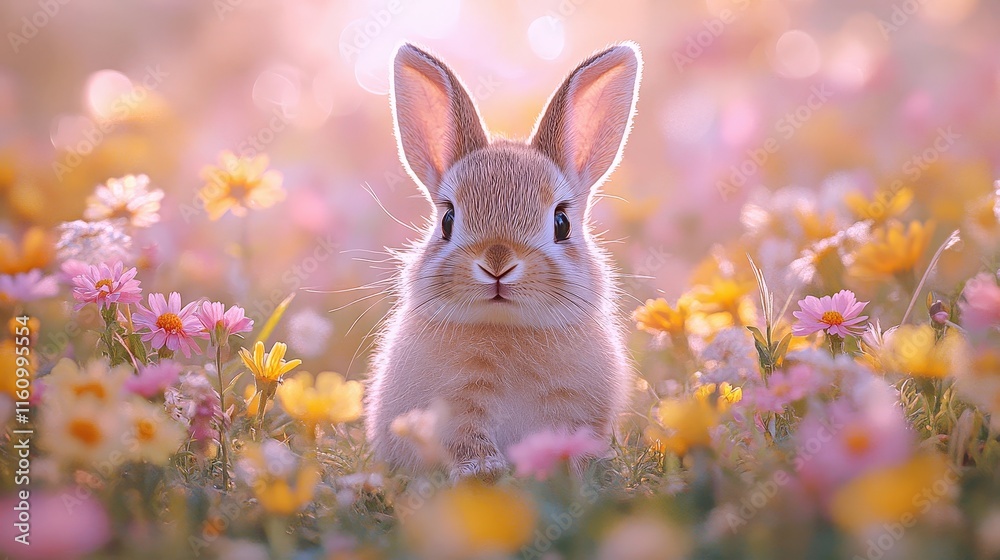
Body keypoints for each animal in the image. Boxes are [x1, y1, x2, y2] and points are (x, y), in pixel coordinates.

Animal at [365, 41, 642, 481]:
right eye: (447, 219)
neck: (508, 327)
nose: (498, 263)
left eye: (561, 222)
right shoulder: (456, 407)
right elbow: (467, 439)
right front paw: (483, 473)